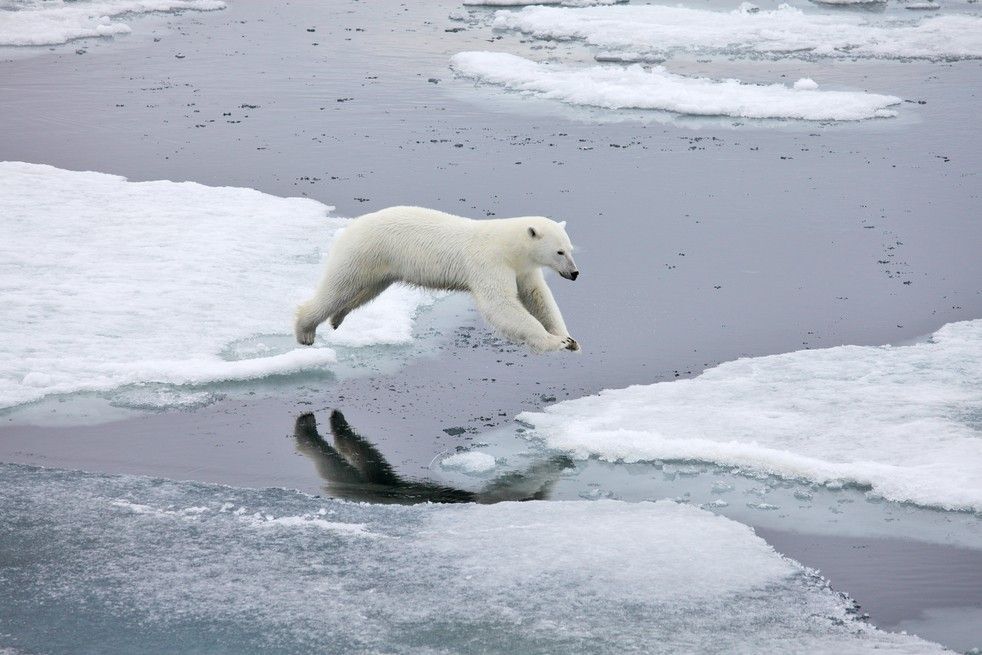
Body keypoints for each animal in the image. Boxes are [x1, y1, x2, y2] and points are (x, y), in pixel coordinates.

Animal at [294, 206, 580, 353]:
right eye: (559, 252)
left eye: (570, 249)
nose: (575, 273)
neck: (508, 246)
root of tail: (351, 226)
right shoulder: (489, 262)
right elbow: (500, 305)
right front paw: (555, 341)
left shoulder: (522, 268)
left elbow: (538, 297)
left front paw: (570, 339)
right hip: (363, 252)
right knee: (338, 287)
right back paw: (305, 330)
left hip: (381, 266)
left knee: (366, 291)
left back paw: (337, 318)